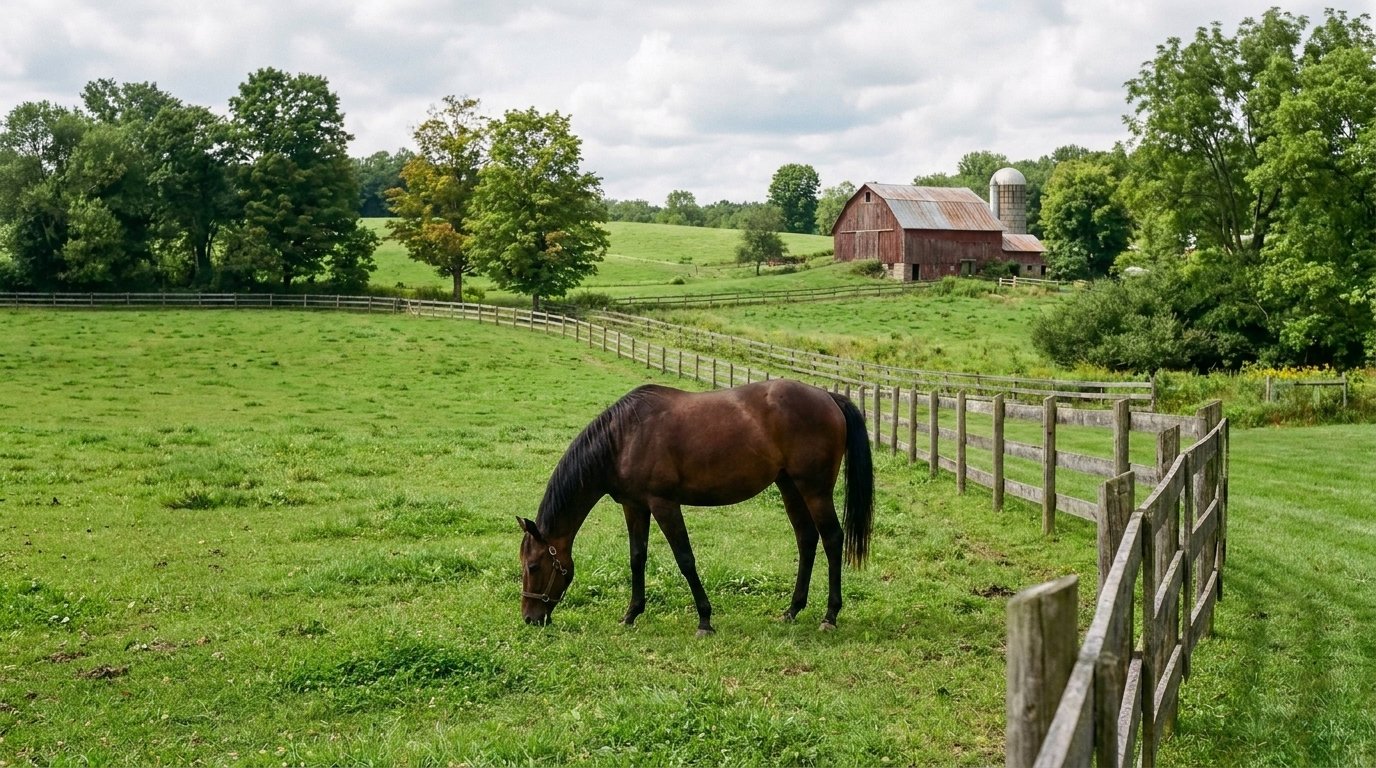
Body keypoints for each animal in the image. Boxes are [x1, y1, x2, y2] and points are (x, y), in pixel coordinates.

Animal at [516, 378, 874, 636]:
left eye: (533, 566)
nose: (530, 618)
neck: (624, 437)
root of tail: (828, 397)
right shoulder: (634, 505)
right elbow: (636, 558)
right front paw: (631, 614)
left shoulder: (664, 504)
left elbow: (685, 559)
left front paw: (704, 620)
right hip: (789, 486)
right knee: (806, 539)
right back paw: (792, 609)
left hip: (814, 490)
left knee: (832, 539)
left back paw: (830, 615)